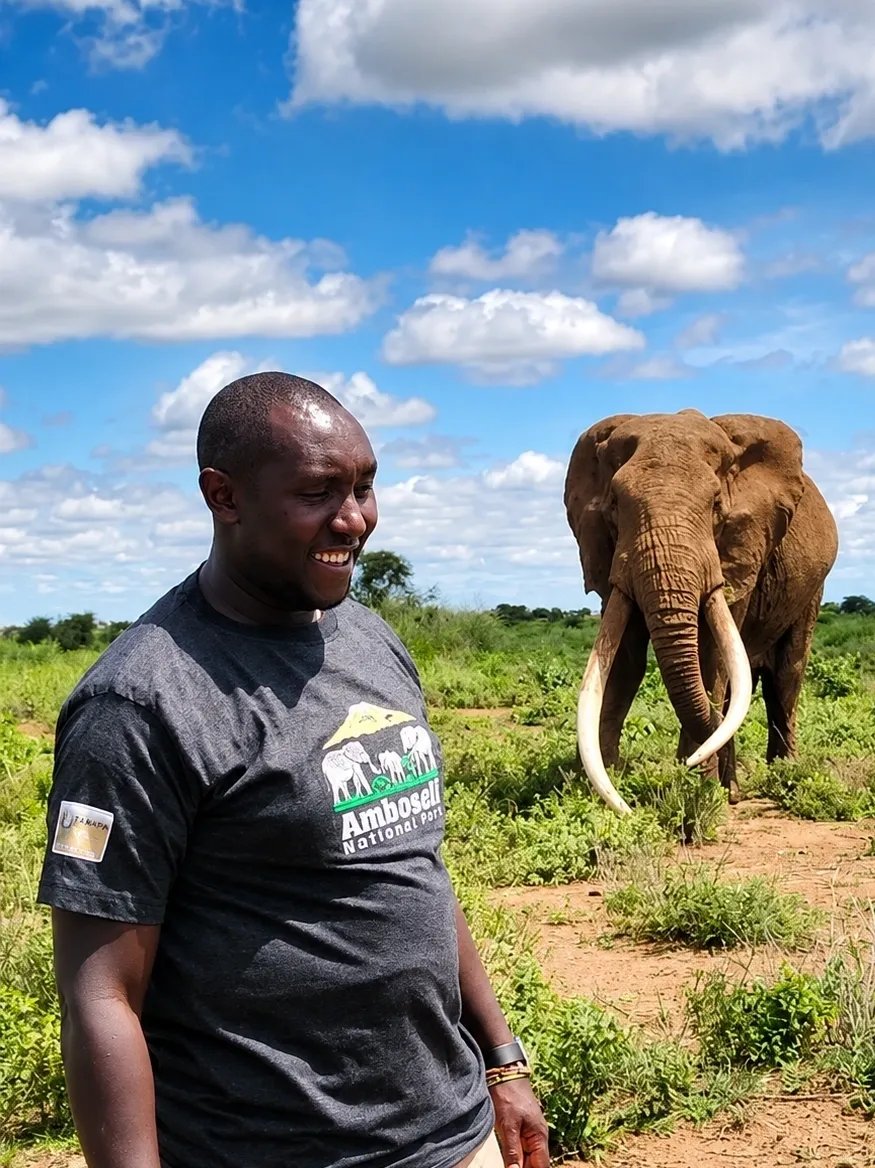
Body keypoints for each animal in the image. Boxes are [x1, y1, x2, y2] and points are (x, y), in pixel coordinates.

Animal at [563, 409, 838, 814]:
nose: (688, 767)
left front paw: (698, 791)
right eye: (614, 505)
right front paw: (597, 792)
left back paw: (782, 777)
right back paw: (733, 787)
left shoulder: (740, 550)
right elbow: (623, 664)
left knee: (786, 674)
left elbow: (710, 657)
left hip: (811, 588)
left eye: (716, 506)